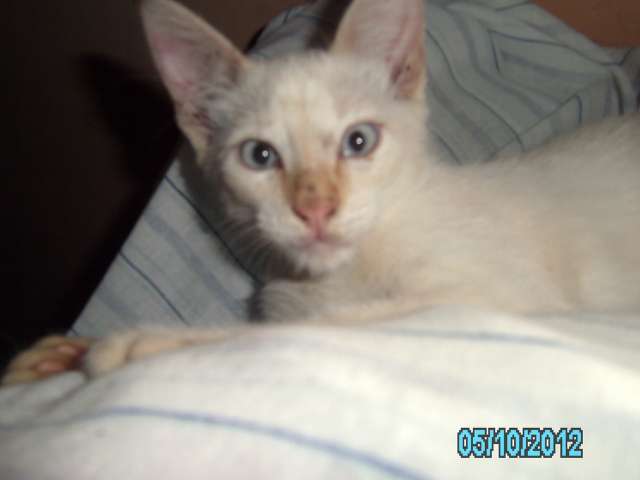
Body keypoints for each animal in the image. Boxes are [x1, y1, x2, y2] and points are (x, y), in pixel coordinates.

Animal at [3, 0, 640, 385]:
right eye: (259, 156)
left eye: (359, 141)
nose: (315, 207)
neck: (342, 274)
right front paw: (57, 356)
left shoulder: (503, 295)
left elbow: (332, 324)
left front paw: (141, 345)